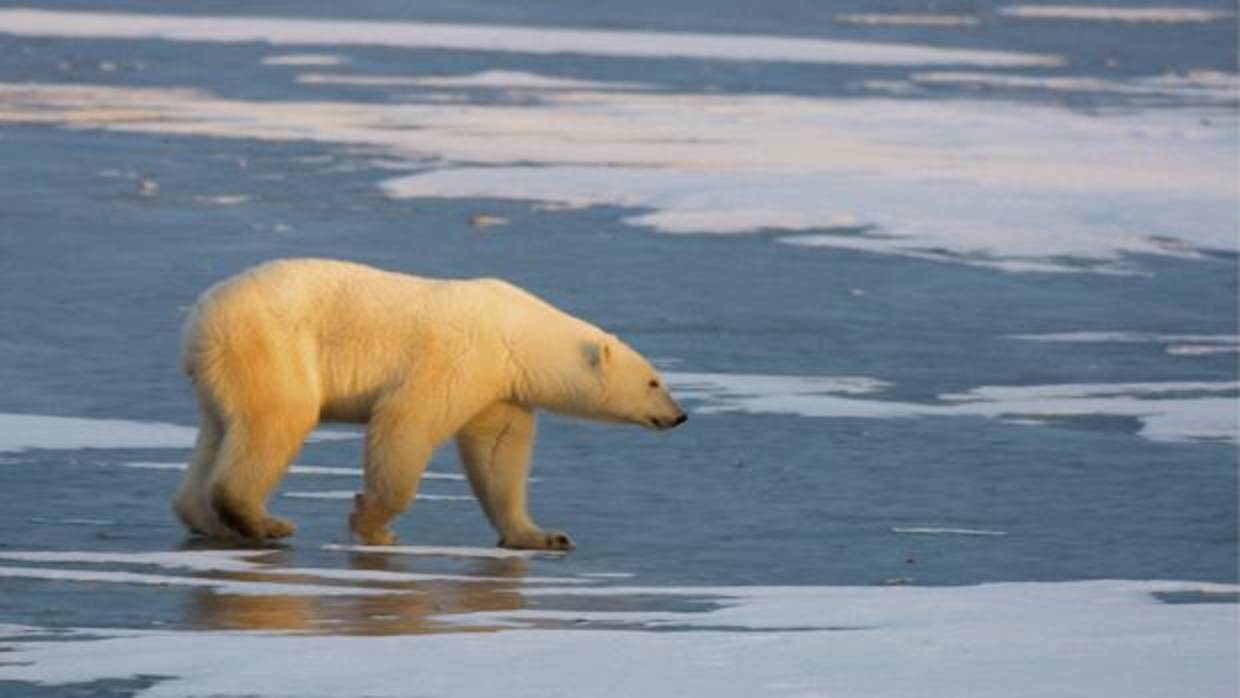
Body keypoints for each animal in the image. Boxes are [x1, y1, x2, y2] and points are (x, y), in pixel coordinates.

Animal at [172, 259, 689, 547]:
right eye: (654, 381)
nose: (680, 416)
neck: (515, 333)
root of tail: (199, 318)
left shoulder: (500, 387)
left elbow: (499, 453)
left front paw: (542, 535)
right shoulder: (460, 357)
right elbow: (406, 422)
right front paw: (373, 522)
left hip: (223, 370)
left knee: (220, 430)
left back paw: (206, 519)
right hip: (271, 345)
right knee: (279, 418)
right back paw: (264, 522)